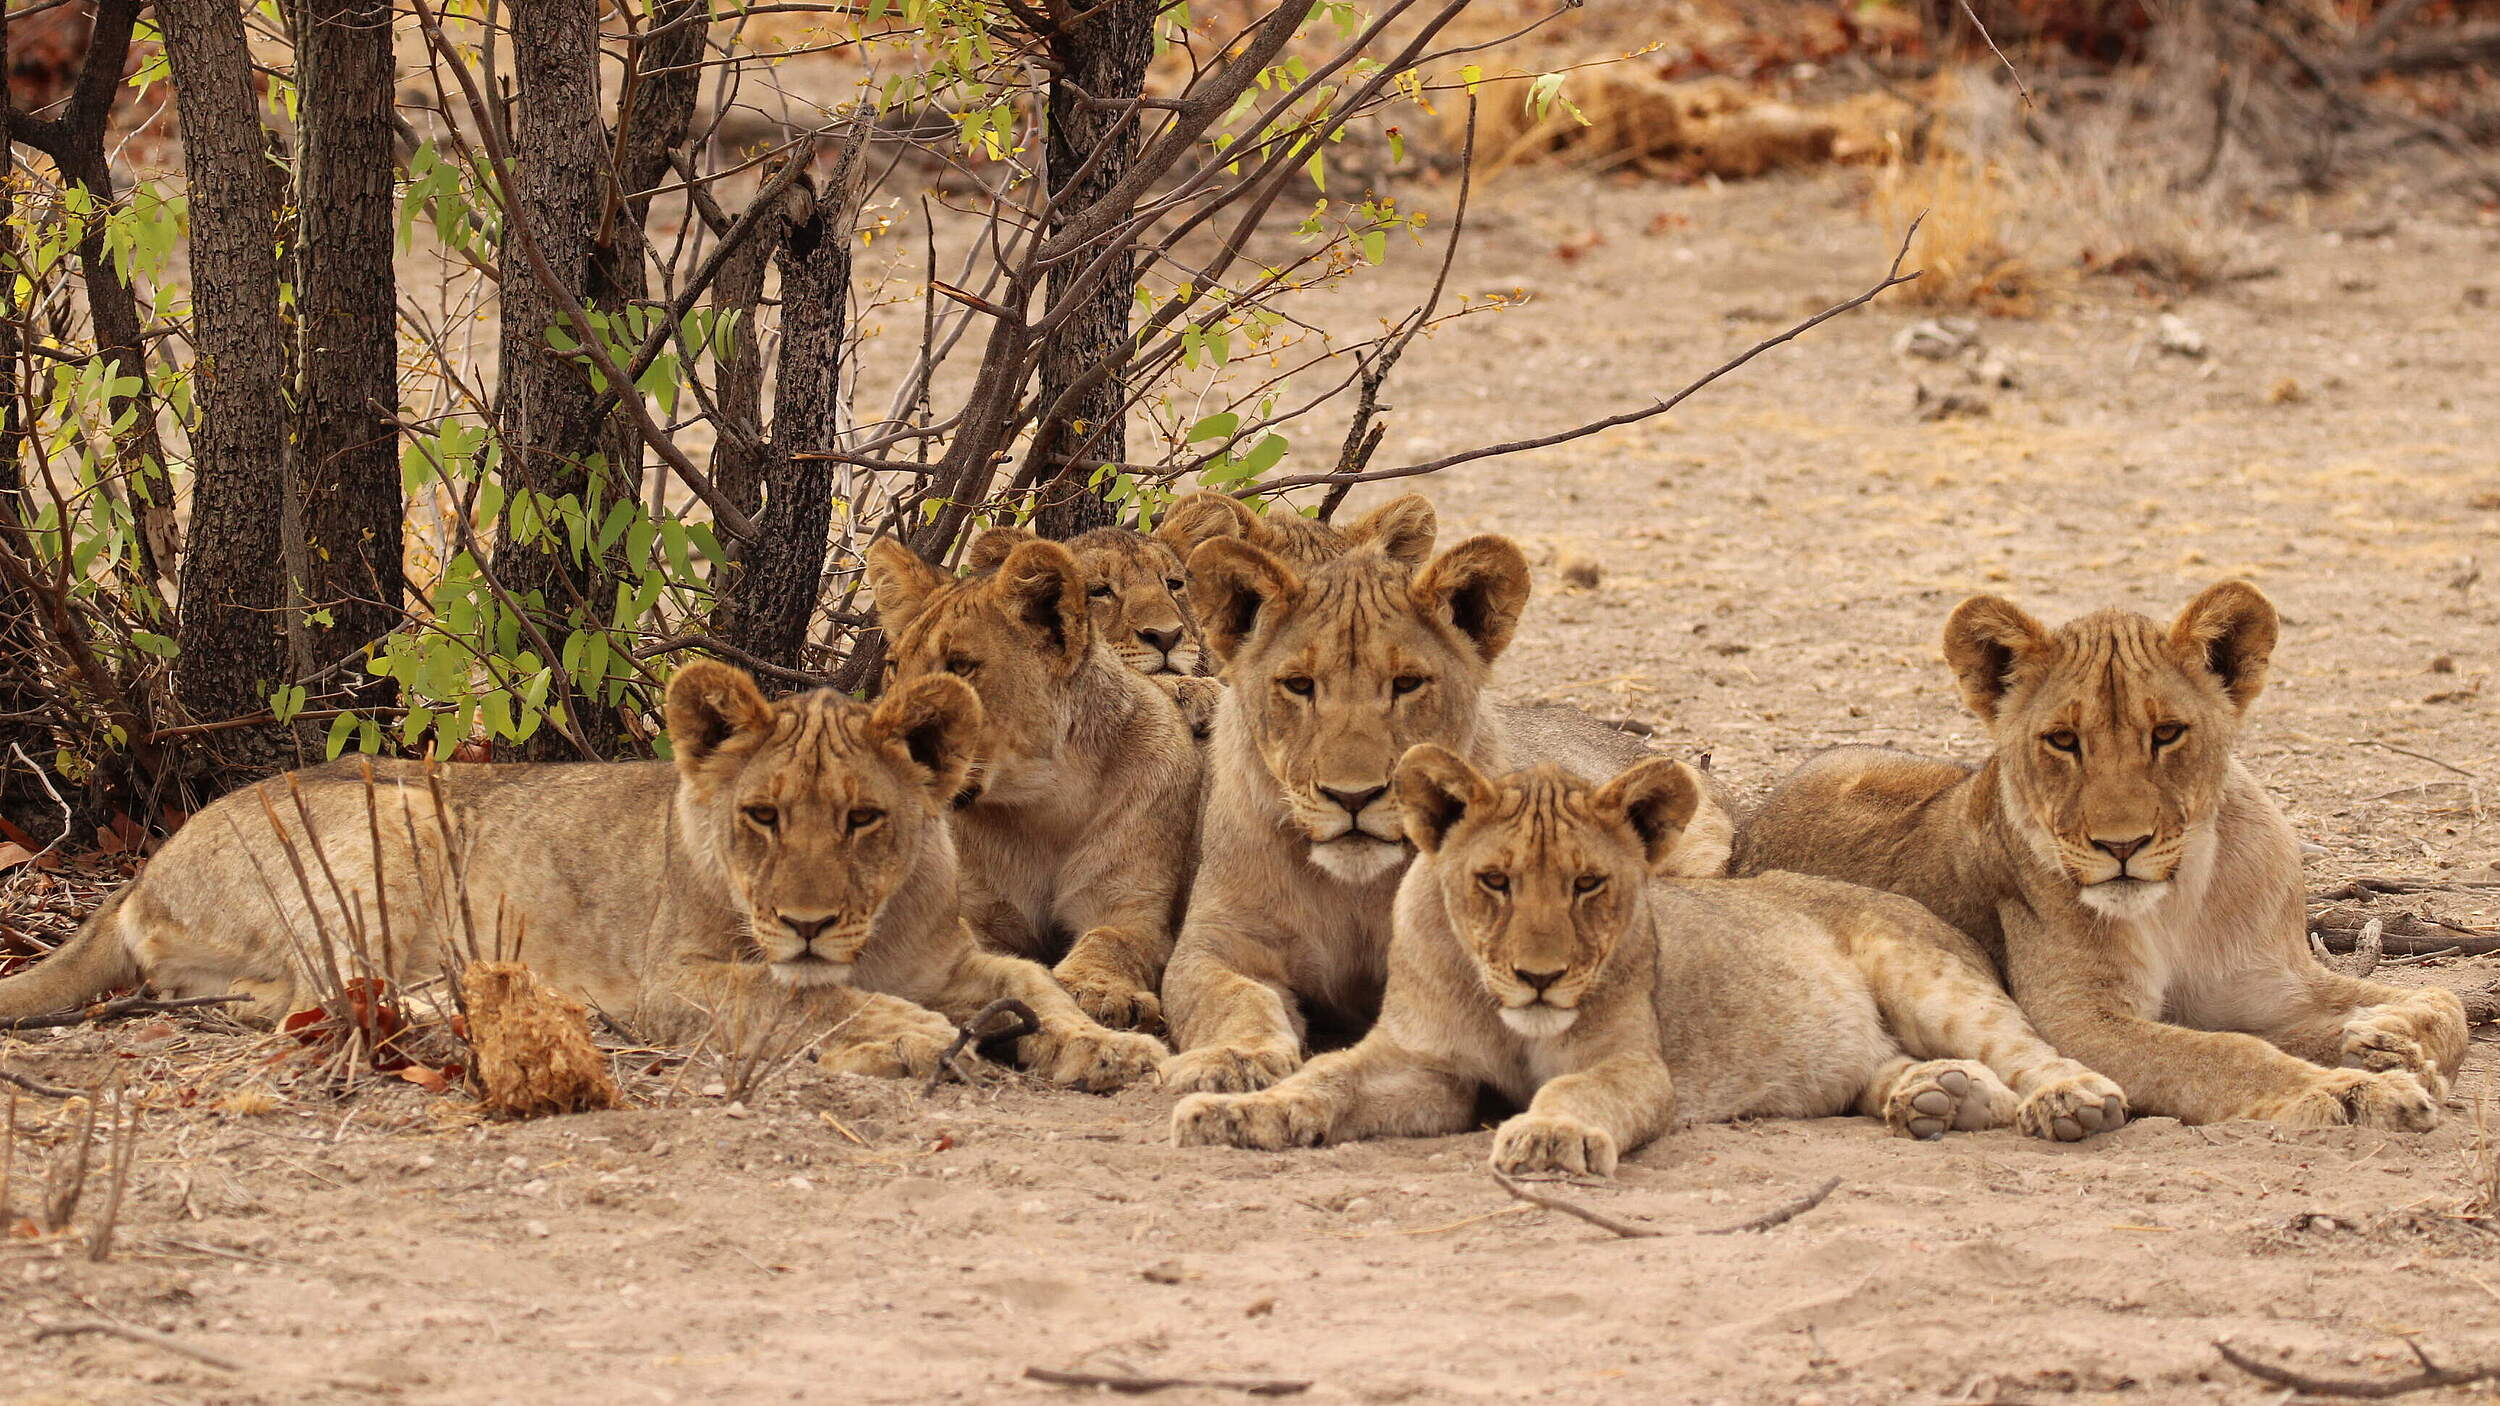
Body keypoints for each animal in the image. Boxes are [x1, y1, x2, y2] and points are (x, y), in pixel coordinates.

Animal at [0, 662, 1164, 1090]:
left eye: (864, 818)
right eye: (761, 816)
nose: (804, 920)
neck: (872, 932)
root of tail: (142, 868)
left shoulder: (956, 957)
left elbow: (1042, 981)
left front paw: (1109, 1045)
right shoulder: (675, 976)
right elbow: (801, 999)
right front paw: (906, 1033)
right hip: (404, 814)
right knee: (304, 999)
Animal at [868, 533, 1200, 1032]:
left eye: (960, 667)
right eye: (893, 666)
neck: (1042, 802)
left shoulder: (1133, 906)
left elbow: (1112, 941)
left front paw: (1099, 989)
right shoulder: (973, 912)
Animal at [1158, 528, 1736, 1094]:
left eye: (1407, 683)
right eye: (1299, 685)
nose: (1353, 797)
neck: (1351, 890)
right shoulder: (1217, 943)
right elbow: (1232, 998)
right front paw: (1233, 1059)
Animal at [1174, 748, 2128, 1172]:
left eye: (1590, 884)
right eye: (1494, 880)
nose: (1541, 978)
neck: (1497, 1007)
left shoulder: (1633, 1065)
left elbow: (1576, 1092)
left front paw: (1552, 1135)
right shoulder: (1423, 1065)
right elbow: (1325, 1078)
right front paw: (1237, 1112)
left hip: (1929, 977)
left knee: (2030, 1054)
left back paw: (2071, 1103)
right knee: (1916, 1073)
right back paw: (1933, 1096)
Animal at [1737, 582, 2464, 1130]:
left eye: (2167, 733)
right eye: (2063, 740)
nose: (2121, 846)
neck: (2180, 901)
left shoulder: (2269, 983)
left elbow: (2442, 998)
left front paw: (2390, 1039)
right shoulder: (2077, 1020)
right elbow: (2228, 1054)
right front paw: (2355, 1090)